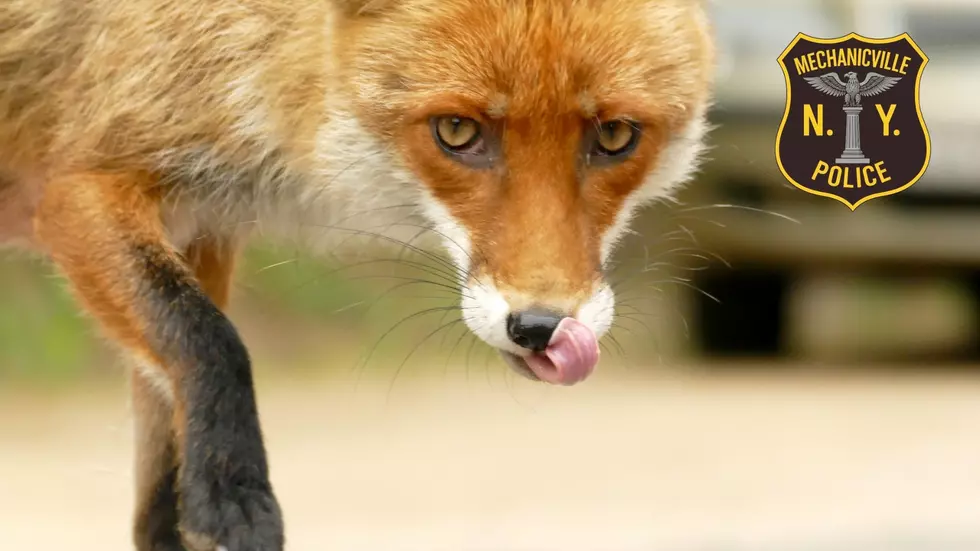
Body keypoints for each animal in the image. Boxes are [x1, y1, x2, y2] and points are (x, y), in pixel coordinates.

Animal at [0, 0, 715, 549]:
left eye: (615, 136)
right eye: (457, 131)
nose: (542, 328)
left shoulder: (200, 226)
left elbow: (159, 496)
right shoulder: (78, 186)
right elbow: (209, 339)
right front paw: (234, 494)